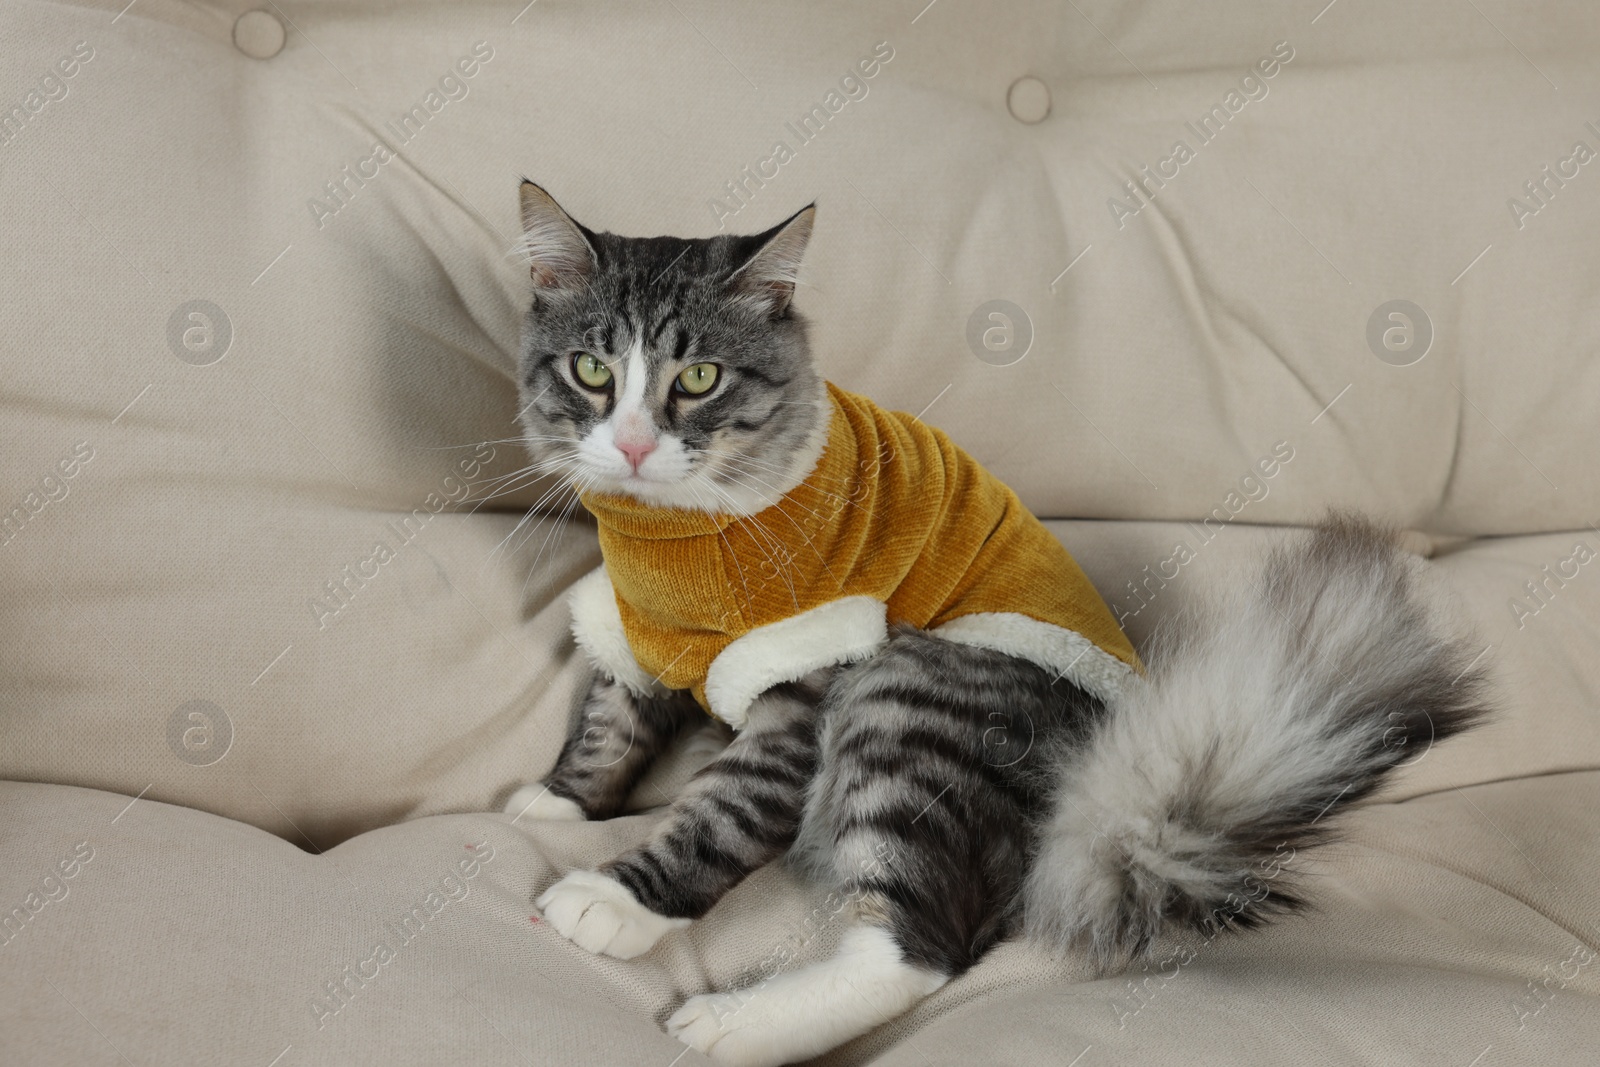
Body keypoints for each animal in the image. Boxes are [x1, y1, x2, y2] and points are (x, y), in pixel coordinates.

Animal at [496, 183, 1484, 1067]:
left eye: (698, 378)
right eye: (592, 371)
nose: (631, 445)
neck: (669, 542)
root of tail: (1084, 797)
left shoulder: (804, 676)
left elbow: (721, 811)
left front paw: (616, 902)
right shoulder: (636, 624)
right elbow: (611, 719)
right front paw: (558, 799)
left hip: (908, 695)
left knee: (920, 949)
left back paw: (733, 1023)